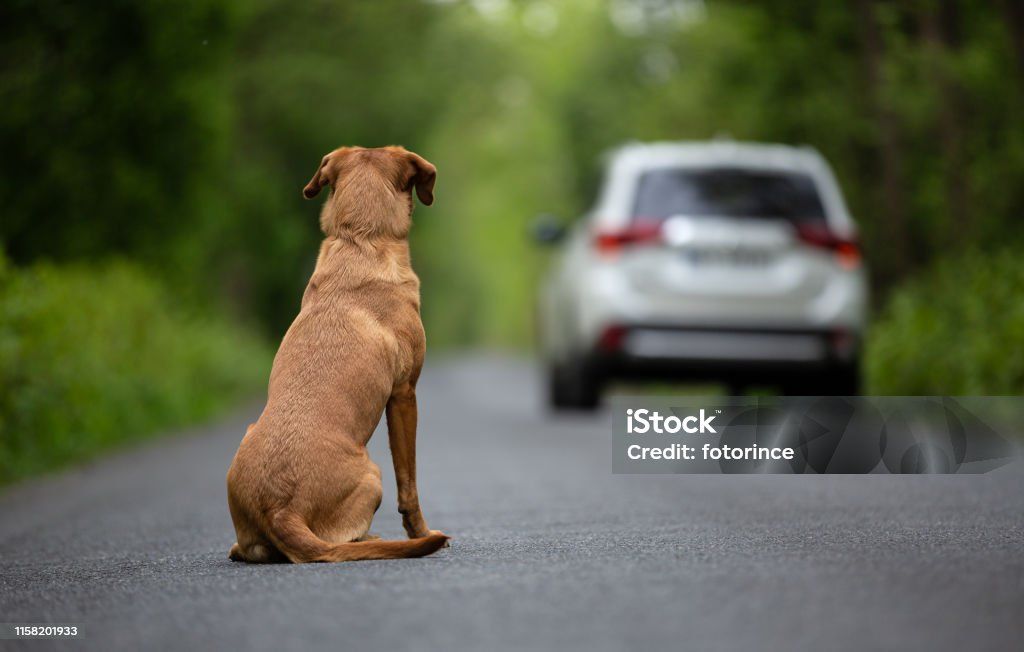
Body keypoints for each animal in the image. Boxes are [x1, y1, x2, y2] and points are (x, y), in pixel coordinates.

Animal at [228, 145, 448, 560]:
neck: (360, 239)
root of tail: (280, 509)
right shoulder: (404, 394)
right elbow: (409, 484)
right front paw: (420, 531)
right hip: (373, 475)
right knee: (347, 539)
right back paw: (377, 539)